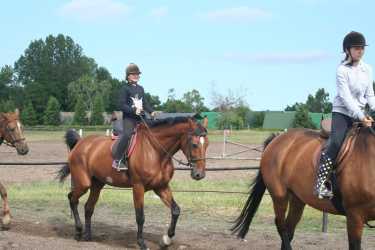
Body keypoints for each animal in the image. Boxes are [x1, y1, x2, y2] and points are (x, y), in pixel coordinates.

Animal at [58, 116, 209, 249]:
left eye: (207, 144)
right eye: (194, 144)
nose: (199, 174)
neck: (155, 151)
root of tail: (80, 142)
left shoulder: (161, 187)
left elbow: (176, 210)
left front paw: (166, 240)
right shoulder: (138, 187)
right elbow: (140, 216)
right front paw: (141, 243)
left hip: (97, 184)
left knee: (88, 207)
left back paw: (88, 236)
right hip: (84, 183)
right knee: (72, 198)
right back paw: (78, 232)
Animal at [232, 127, 375, 250]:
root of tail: (277, 138)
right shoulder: (354, 216)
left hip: (297, 199)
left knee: (289, 228)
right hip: (279, 196)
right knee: (281, 226)